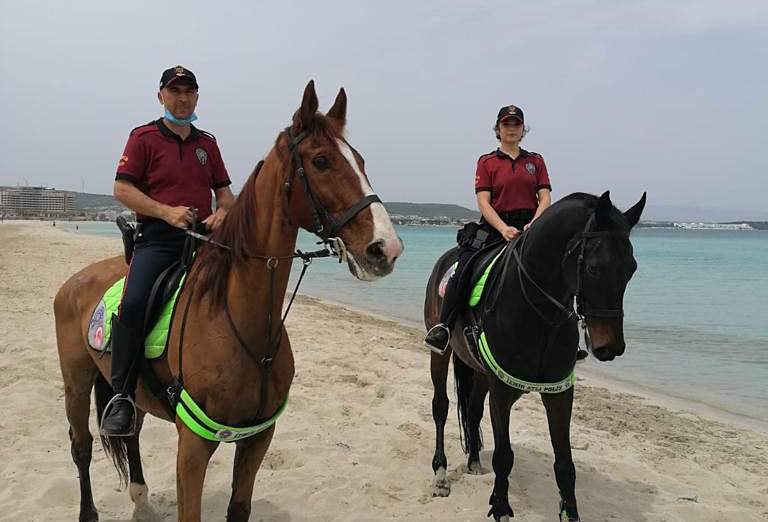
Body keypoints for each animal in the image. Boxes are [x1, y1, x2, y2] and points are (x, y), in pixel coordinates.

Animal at [54, 81, 402, 520]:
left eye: (360, 160)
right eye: (322, 160)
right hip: (76, 379)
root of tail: (75, 281)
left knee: (130, 434)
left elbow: (239, 507)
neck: (240, 323)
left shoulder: (258, 438)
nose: (386, 248)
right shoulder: (192, 446)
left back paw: (142, 501)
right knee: (81, 447)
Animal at [424, 191, 644, 520]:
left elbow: (565, 464)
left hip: (480, 372)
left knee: (473, 410)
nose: (611, 347)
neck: (539, 314)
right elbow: (504, 456)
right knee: (441, 407)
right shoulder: (502, 392)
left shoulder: (559, 392)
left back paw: (474, 462)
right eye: (594, 268)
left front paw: (570, 513)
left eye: (632, 268)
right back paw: (440, 475)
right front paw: (501, 506)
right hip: (440, 353)